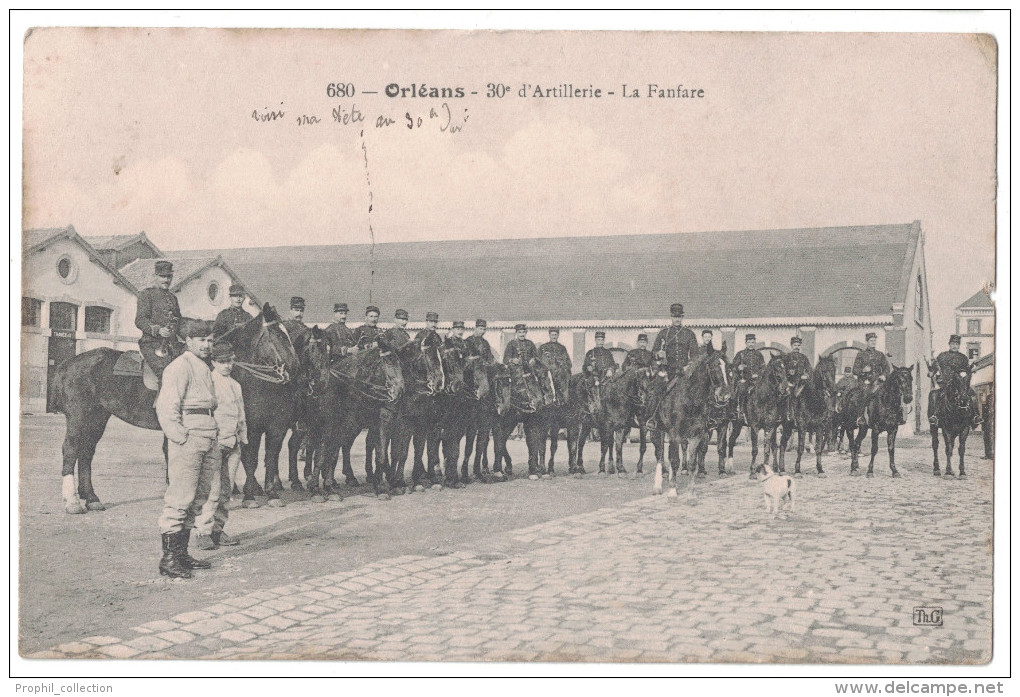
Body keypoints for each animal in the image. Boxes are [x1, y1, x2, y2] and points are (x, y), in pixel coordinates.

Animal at [652, 355, 734, 495]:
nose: (725, 395)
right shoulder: (675, 433)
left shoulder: (711, 428)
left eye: (728, 369)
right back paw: (658, 484)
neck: (690, 399)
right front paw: (673, 490)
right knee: (660, 453)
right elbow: (675, 459)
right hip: (659, 430)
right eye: (713, 368)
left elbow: (714, 449)